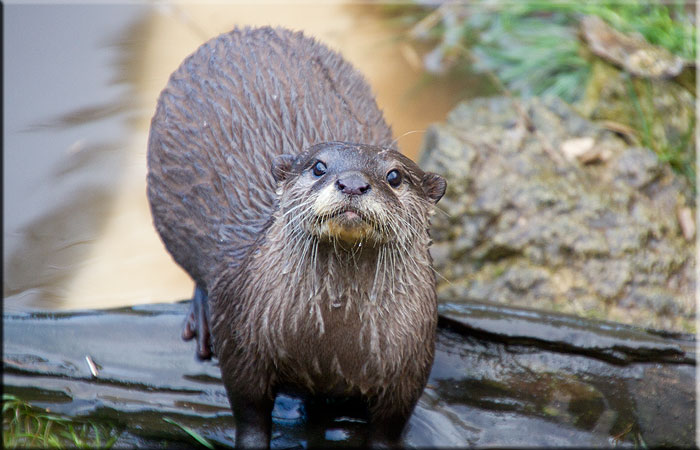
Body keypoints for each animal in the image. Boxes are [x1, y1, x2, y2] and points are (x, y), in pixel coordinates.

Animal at [147, 27, 445, 448]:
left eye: (394, 176)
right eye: (319, 167)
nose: (352, 183)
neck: (331, 344)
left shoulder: (410, 367)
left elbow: (389, 428)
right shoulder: (241, 345)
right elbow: (249, 413)